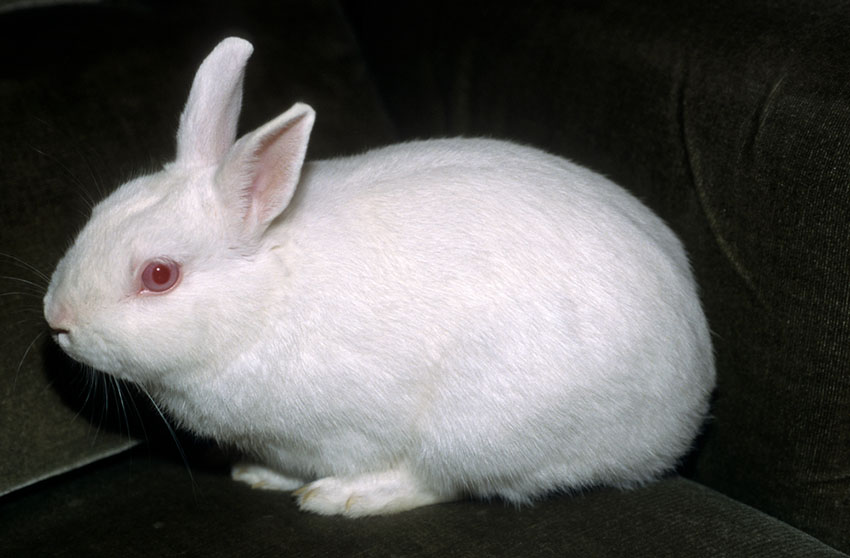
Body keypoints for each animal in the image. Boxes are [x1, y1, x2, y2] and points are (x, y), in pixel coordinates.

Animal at [43, 37, 712, 520]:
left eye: (159, 275)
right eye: (101, 212)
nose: (57, 320)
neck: (267, 292)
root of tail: (689, 403)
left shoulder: (351, 428)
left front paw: (319, 487)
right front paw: (257, 474)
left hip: (483, 429)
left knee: (449, 480)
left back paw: (346, 498)